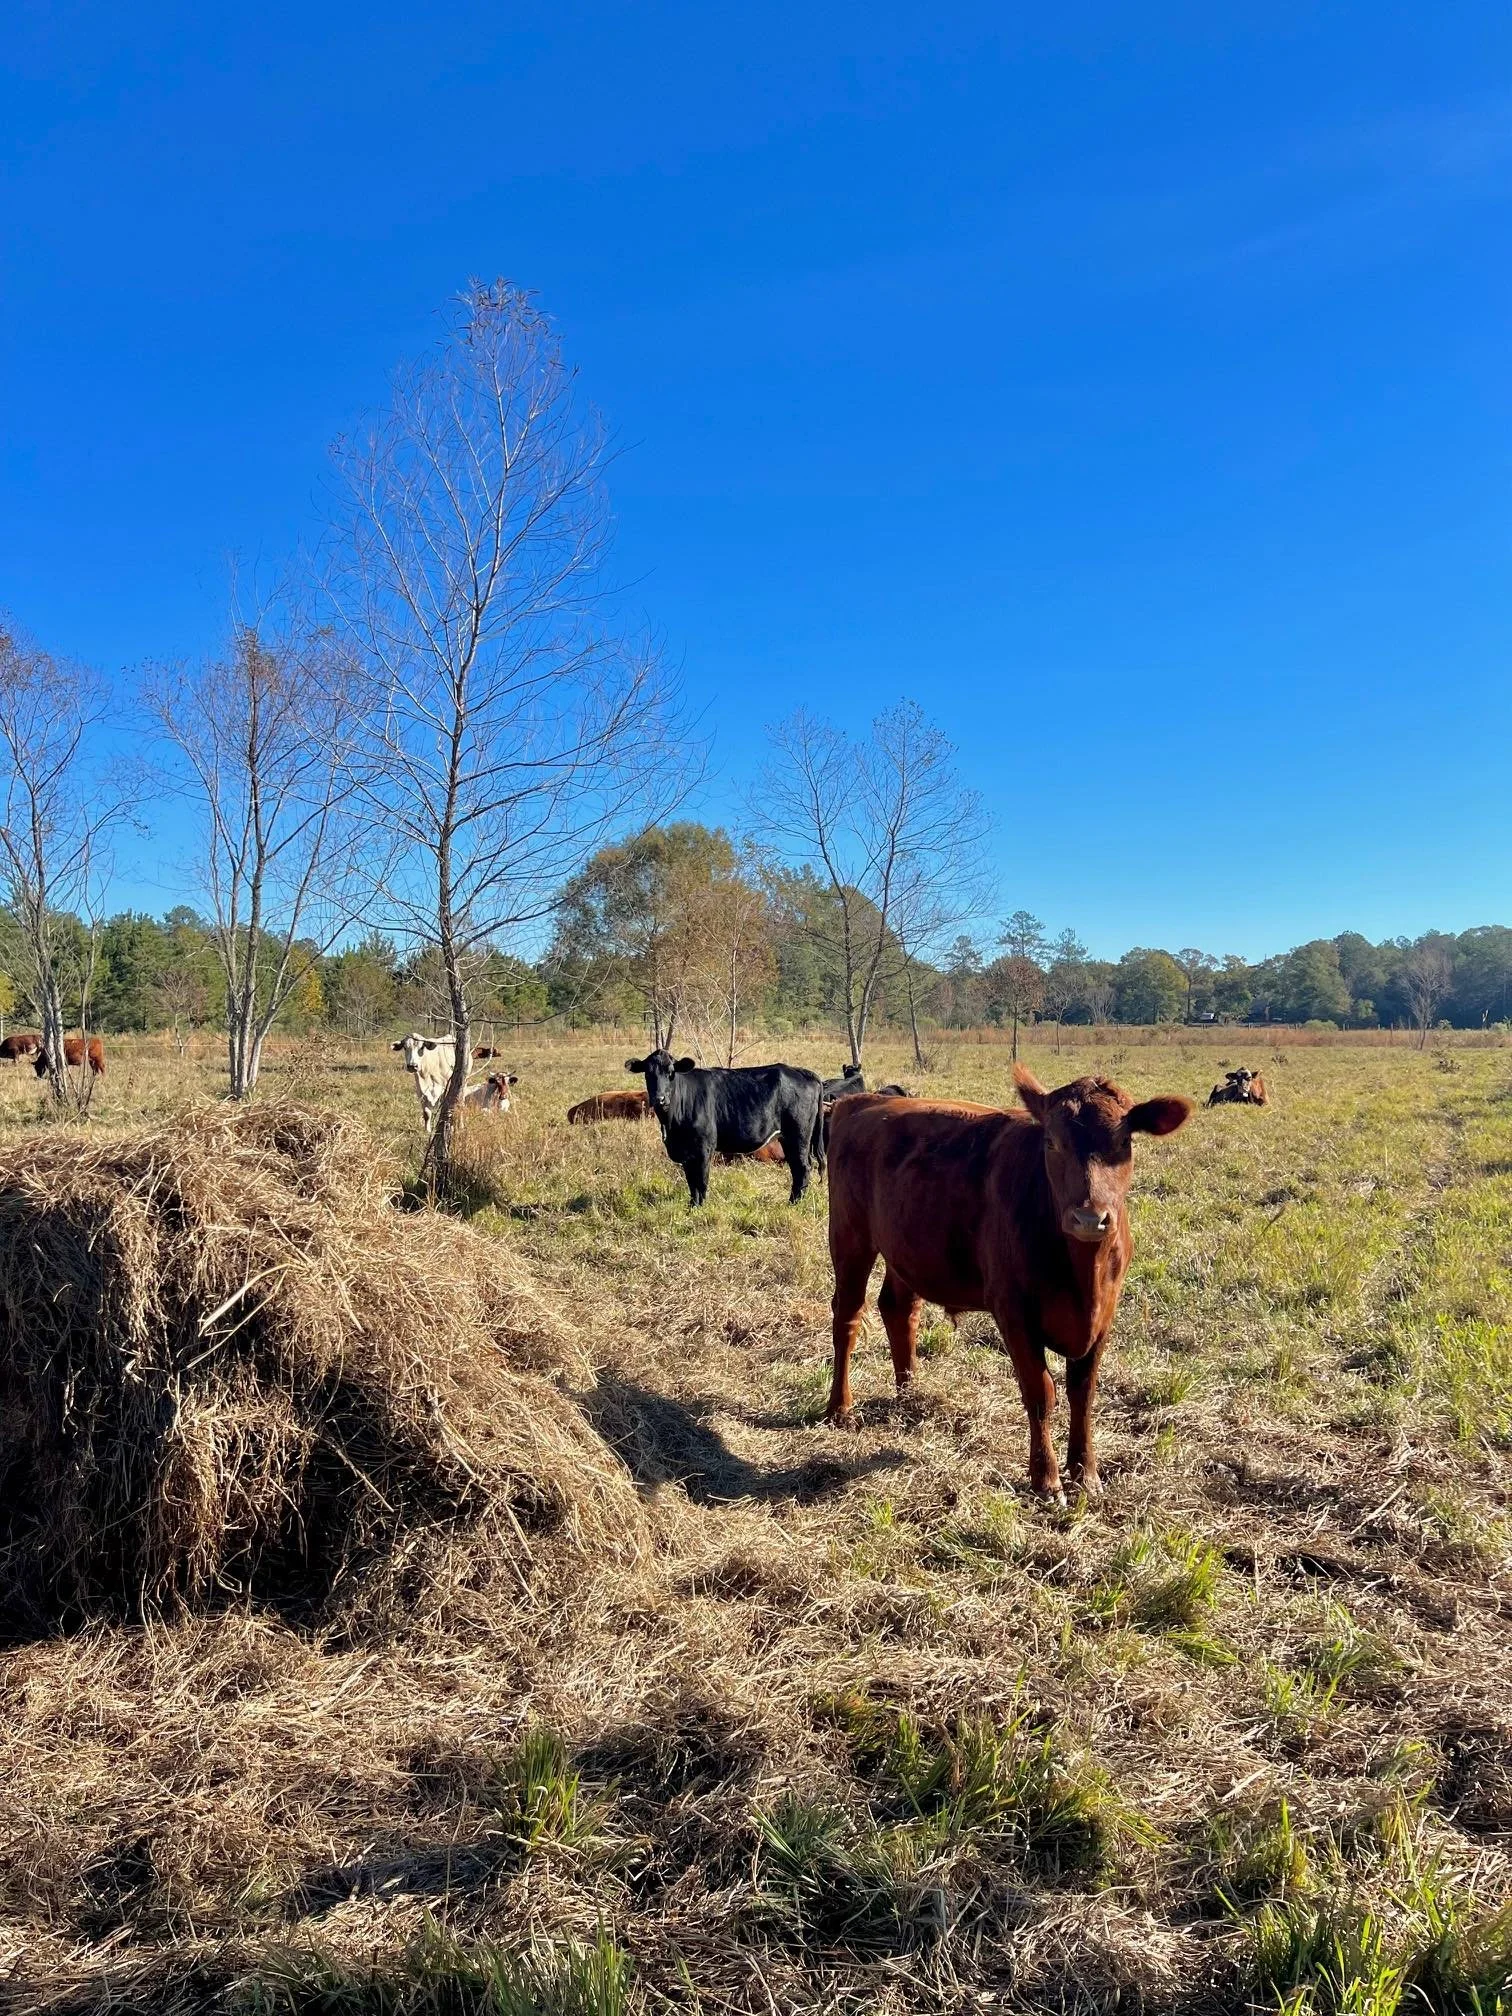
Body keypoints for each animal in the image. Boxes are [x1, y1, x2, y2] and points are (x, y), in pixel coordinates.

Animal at [625, 1050, 825, 1206]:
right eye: (648, 1073)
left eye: (671, 1072)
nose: (659, 1099)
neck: (671, 1124)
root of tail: (802, 1071)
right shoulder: (686, 1152)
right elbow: (691, 1181)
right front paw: (691, 1206)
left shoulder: (704, 1147)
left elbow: (701, 1179)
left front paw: (699, 1207)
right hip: (790, 1138)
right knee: (798, 1167)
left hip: (799, 1135)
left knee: (803, 1167)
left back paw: (794, 1203)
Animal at [824, 1066, 1191, 1501]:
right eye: (1051, 1141)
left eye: (1123, 1141)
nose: (1089, 1218)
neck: (1084, 1274)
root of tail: (861, 1101)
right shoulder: (1012, 1311)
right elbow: (1041, 1392)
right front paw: (1046, 1479)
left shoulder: (1104, 1315)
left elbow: (1083, 1392)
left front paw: (1086, 1474)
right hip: (850, 1237)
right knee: (847, 1316)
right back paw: (840, 1408)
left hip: (905, 1246)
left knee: (899, 1310)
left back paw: (910, 1395)